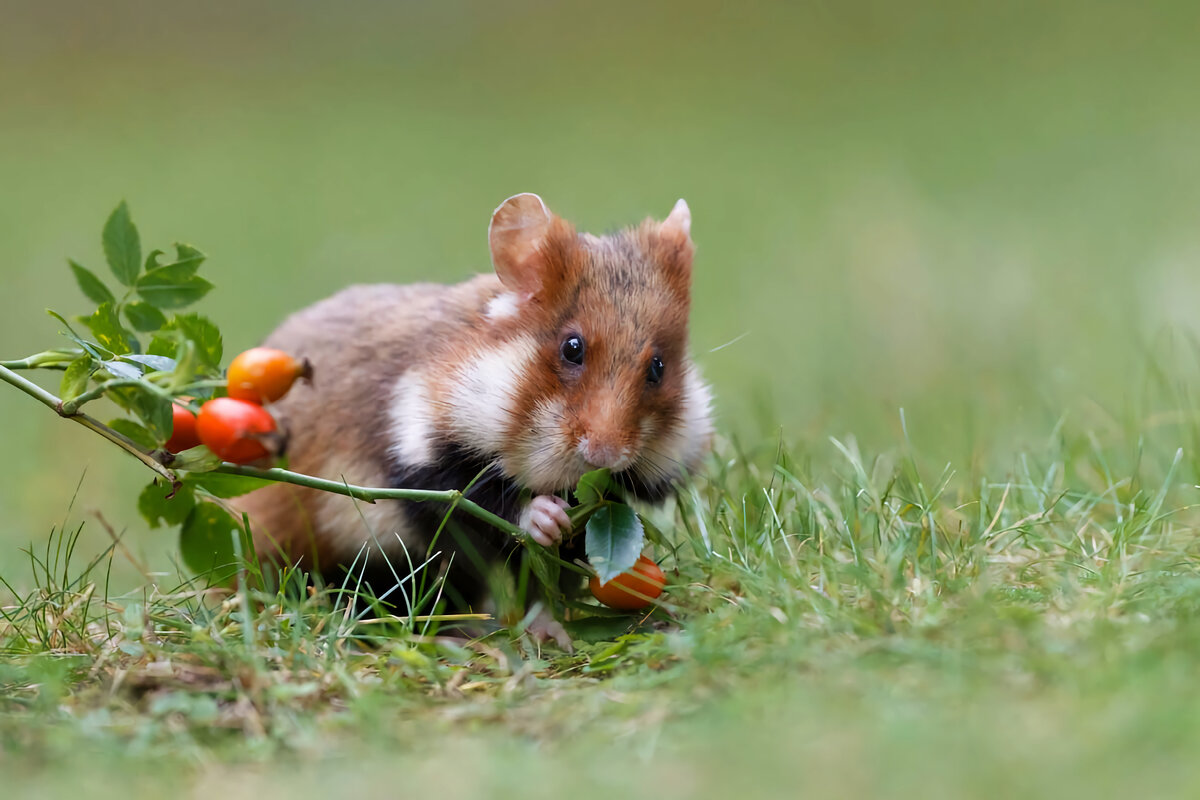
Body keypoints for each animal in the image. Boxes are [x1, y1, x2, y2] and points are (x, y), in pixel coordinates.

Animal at [236, 196, 710, 609]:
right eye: (572, 348)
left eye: (658, 368)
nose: (604, 455)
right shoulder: (417, 460)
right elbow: (474, 500)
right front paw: (547, 517)